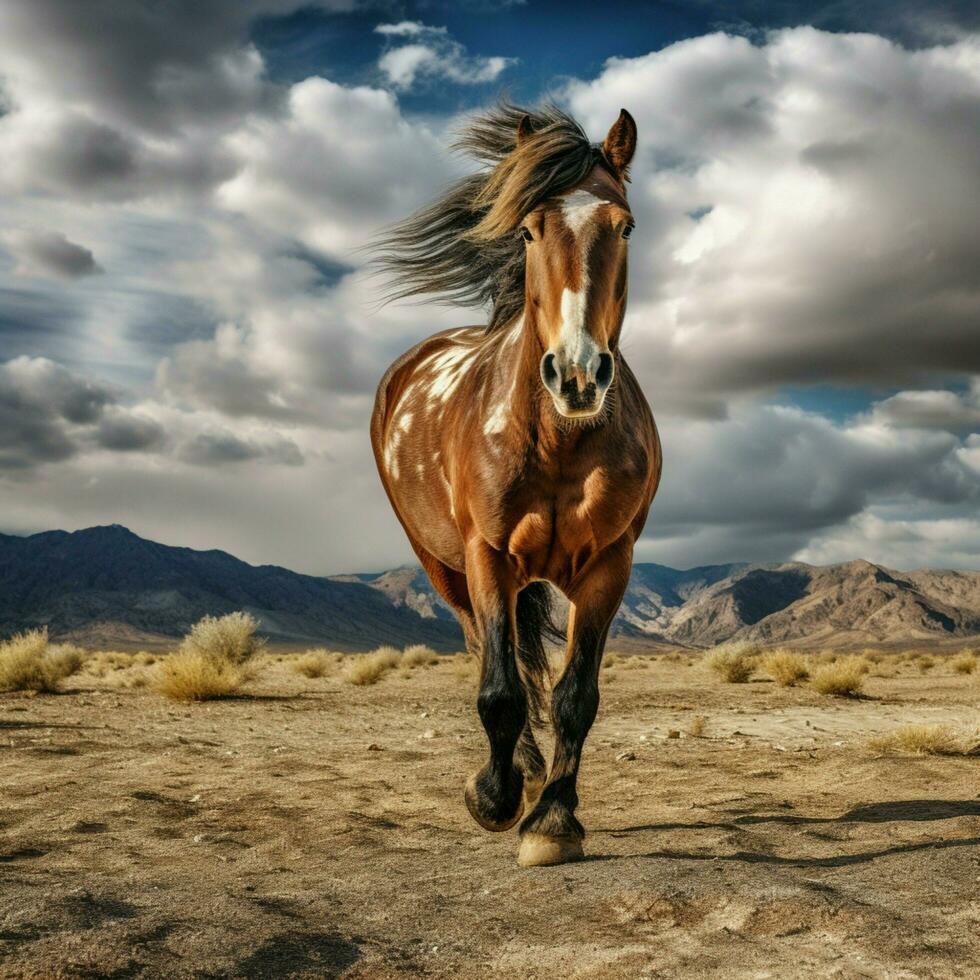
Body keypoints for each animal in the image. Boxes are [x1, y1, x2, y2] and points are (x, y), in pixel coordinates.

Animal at [372, 103, 664, 864]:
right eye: (530, 229)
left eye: (625, 225)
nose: (578, 374)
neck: (556, 440)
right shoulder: (488, 555)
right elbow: (499, 691)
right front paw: (495, 800)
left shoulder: (611, 564)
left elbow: (575, 697)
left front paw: (555, 821)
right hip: (441, 564)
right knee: (486, 650)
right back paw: (516, 775)